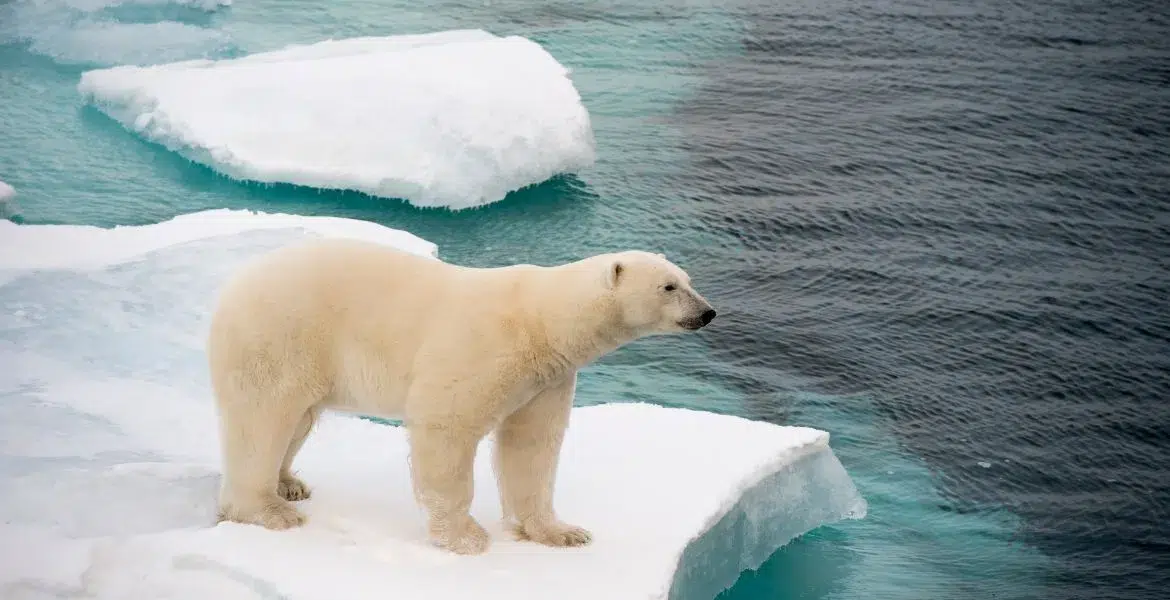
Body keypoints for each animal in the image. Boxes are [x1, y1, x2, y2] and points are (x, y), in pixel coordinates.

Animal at [206, 238, 717, 555]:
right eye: (669, 286)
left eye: (688, 279)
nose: (708, 312)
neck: (541, 320)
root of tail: (231, 287)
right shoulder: (482, 348)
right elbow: (446, 427)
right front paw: (465, 538)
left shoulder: (546, 378)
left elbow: (532, 446)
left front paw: (561, 532)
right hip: (279, 337)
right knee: (264, 418)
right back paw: (268, 510)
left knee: (297, 422)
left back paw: (289, 482)